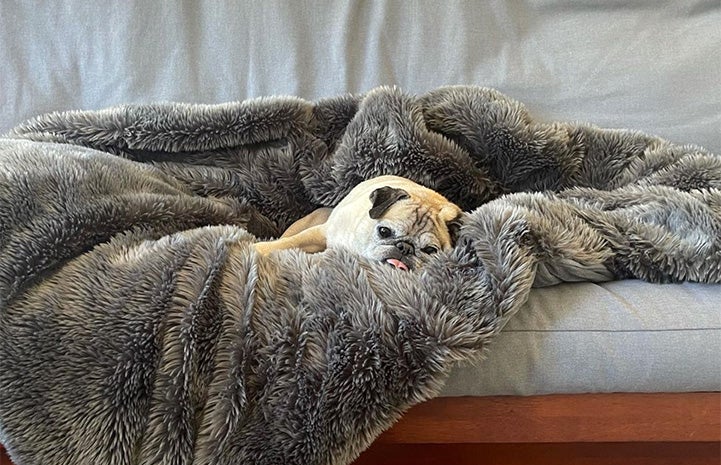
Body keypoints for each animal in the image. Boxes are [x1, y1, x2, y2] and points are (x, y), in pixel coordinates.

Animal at [253, 176, 462, 270]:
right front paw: (257, 248)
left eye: (430, 250)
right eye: (384, 232)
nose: (405, 248)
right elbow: (289, 242)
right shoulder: (320, 233)